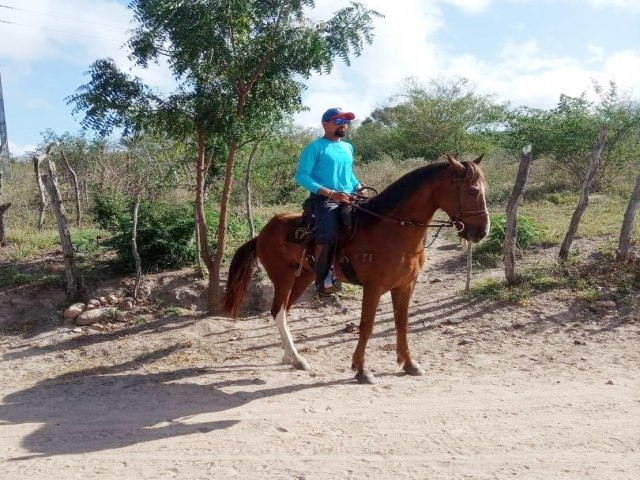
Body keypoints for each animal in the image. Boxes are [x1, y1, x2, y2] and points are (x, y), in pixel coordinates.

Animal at [224, 156, 490, 384]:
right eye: (472, 191)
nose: (482, 232)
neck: (392, 230)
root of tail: (263, 232)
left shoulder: (405, 286)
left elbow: (402, 323)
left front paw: (409, 364)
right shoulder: (373, 288)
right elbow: (367, 326)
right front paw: (362, 370)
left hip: (304, 277)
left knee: (284, 312)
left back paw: (290, 356)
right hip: (284, 278)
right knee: (278, 311)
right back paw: (296, 358)